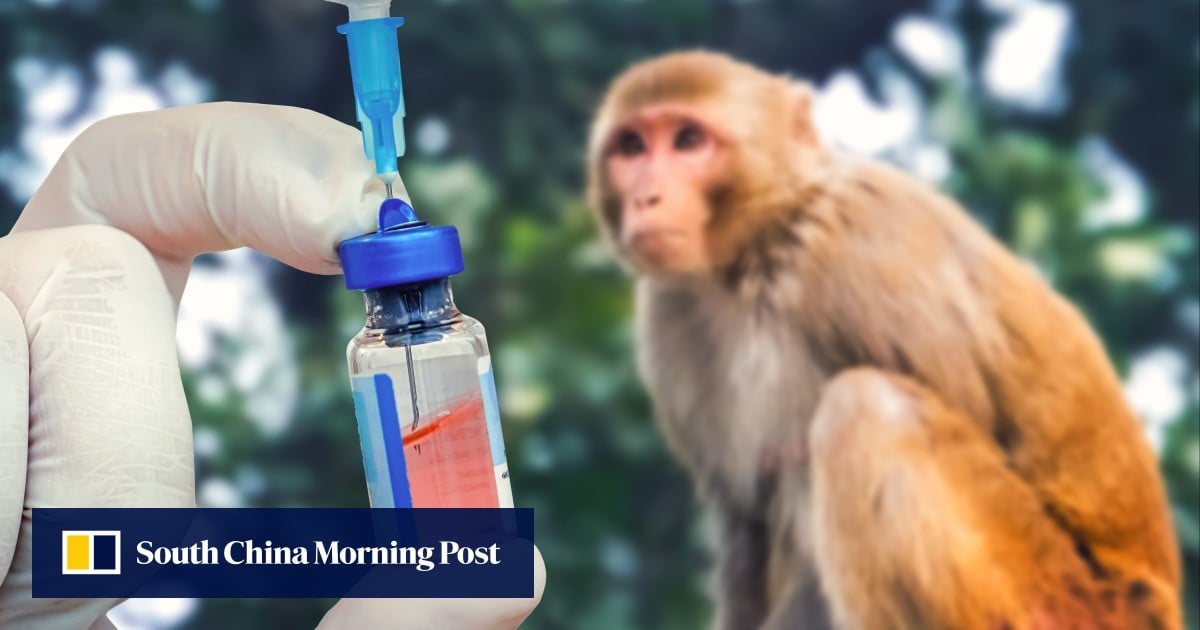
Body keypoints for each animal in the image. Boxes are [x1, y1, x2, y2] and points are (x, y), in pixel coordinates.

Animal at [585, 51, 1182, 630]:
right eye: (632, 147)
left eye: (688, 140)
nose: (647, 197)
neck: (760, 250)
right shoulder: (667, 316)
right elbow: (746, 523)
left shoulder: (863, 247)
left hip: (1062, 598)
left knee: (868, 408)